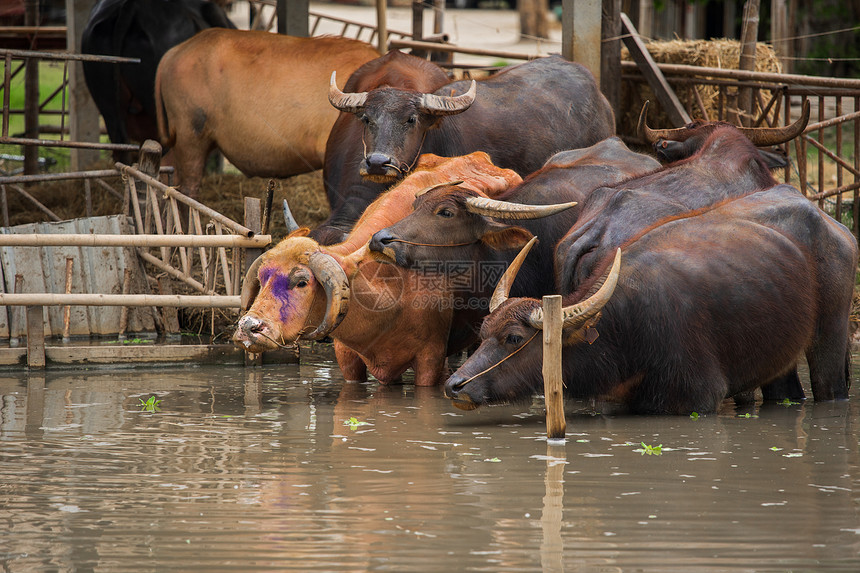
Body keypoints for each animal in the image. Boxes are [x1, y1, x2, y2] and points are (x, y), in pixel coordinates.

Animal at [232, 151, 520, 384]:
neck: (390, 289)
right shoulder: (347, 357)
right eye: (262, 279)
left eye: (301, 281)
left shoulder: (431, 359)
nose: (248, 327)